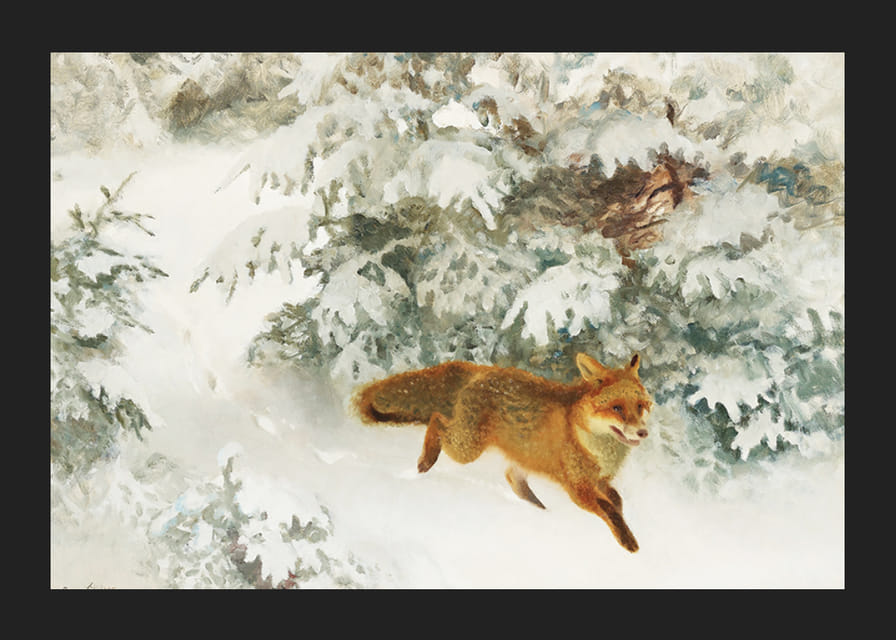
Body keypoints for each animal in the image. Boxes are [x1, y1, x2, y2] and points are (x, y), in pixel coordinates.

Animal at [354, 352, 652, 553]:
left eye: (640, 406)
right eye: (617, 408)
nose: (642, 433)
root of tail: (482, 369)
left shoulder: (600, 480)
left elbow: (617, 501)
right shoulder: (578, 488)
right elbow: (609, 509)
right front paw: (629, 542)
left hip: (517, 455)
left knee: (513, 478)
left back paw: (539, 509)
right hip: (467, 447)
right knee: (436, 420)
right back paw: (426, 461)